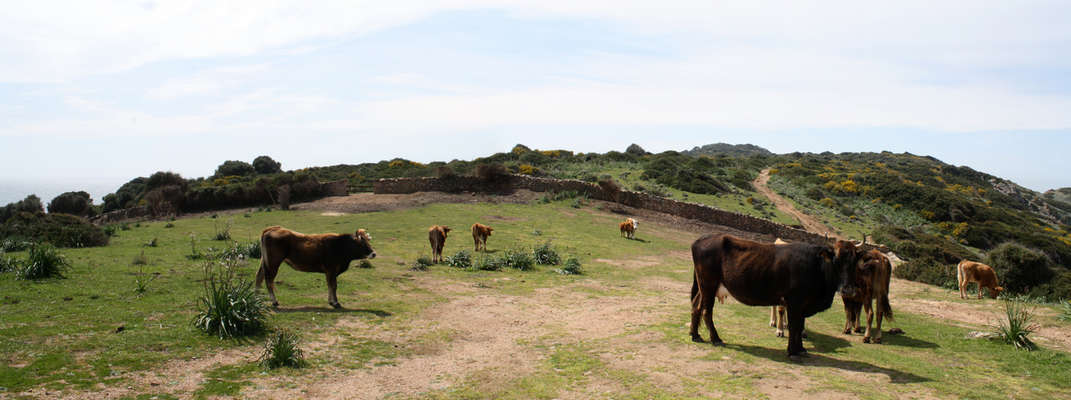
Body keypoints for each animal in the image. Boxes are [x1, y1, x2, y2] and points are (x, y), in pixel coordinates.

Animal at [689, 233, 865, 356]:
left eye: (854, 261)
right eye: (836, 260)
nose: (847, 289)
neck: (816, 266)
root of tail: (702, 239)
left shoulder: (802, 306)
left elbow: (800, 325)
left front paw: (801, 349)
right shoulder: (795, 302)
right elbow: (794, 326)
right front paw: (792, 351)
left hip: (704, 287)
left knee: (696, 306)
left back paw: (695, 335)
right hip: (709, 285)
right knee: (706, 311)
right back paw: (716, 338)